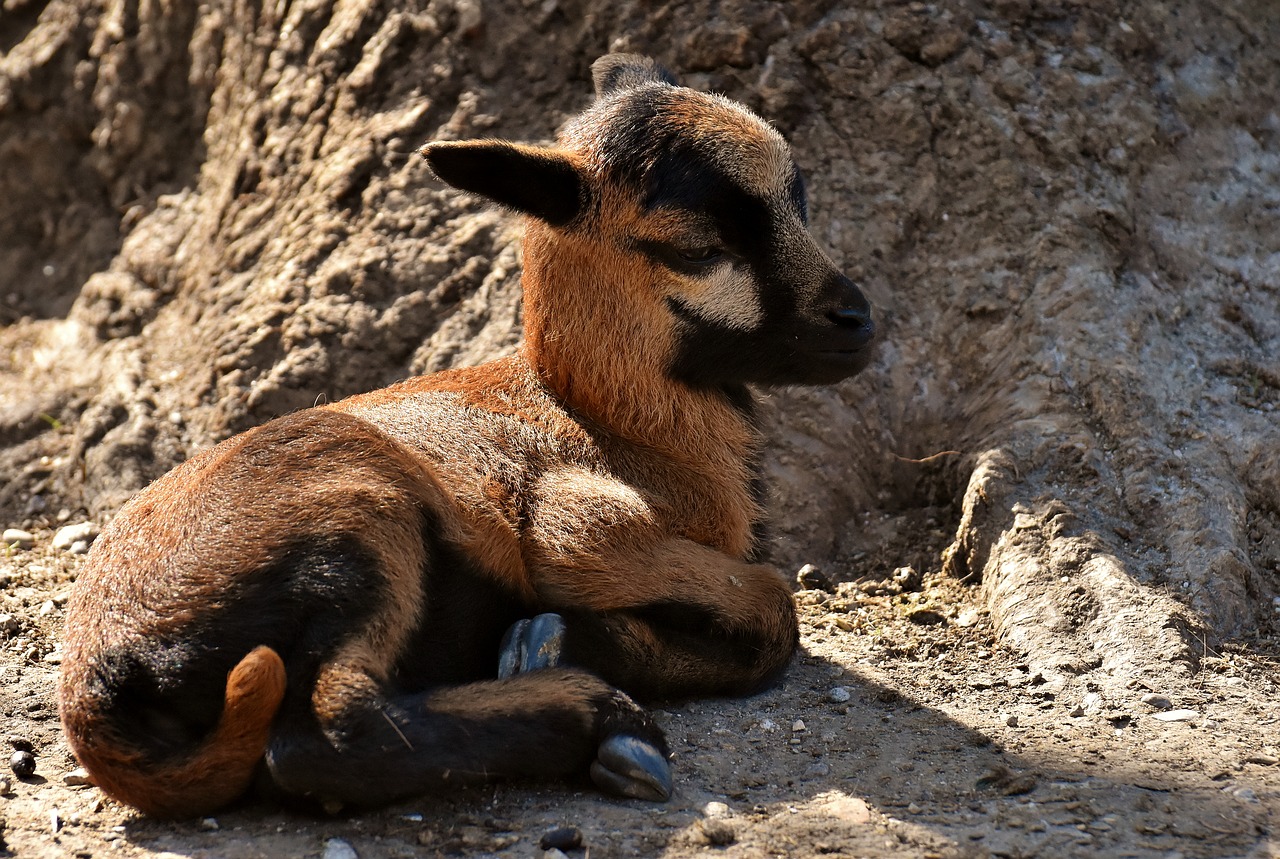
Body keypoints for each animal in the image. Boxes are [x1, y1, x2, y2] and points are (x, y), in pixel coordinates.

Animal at [62, 53, 880, 819]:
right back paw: (607, 728)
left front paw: (556, 641)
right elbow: (773, 610)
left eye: (799, 203)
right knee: (325, 732)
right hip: (358, 518)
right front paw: (557, 642)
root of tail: (99, 679)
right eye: (697, 249)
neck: (608, 420)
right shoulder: (579, 525)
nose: (857, 320)